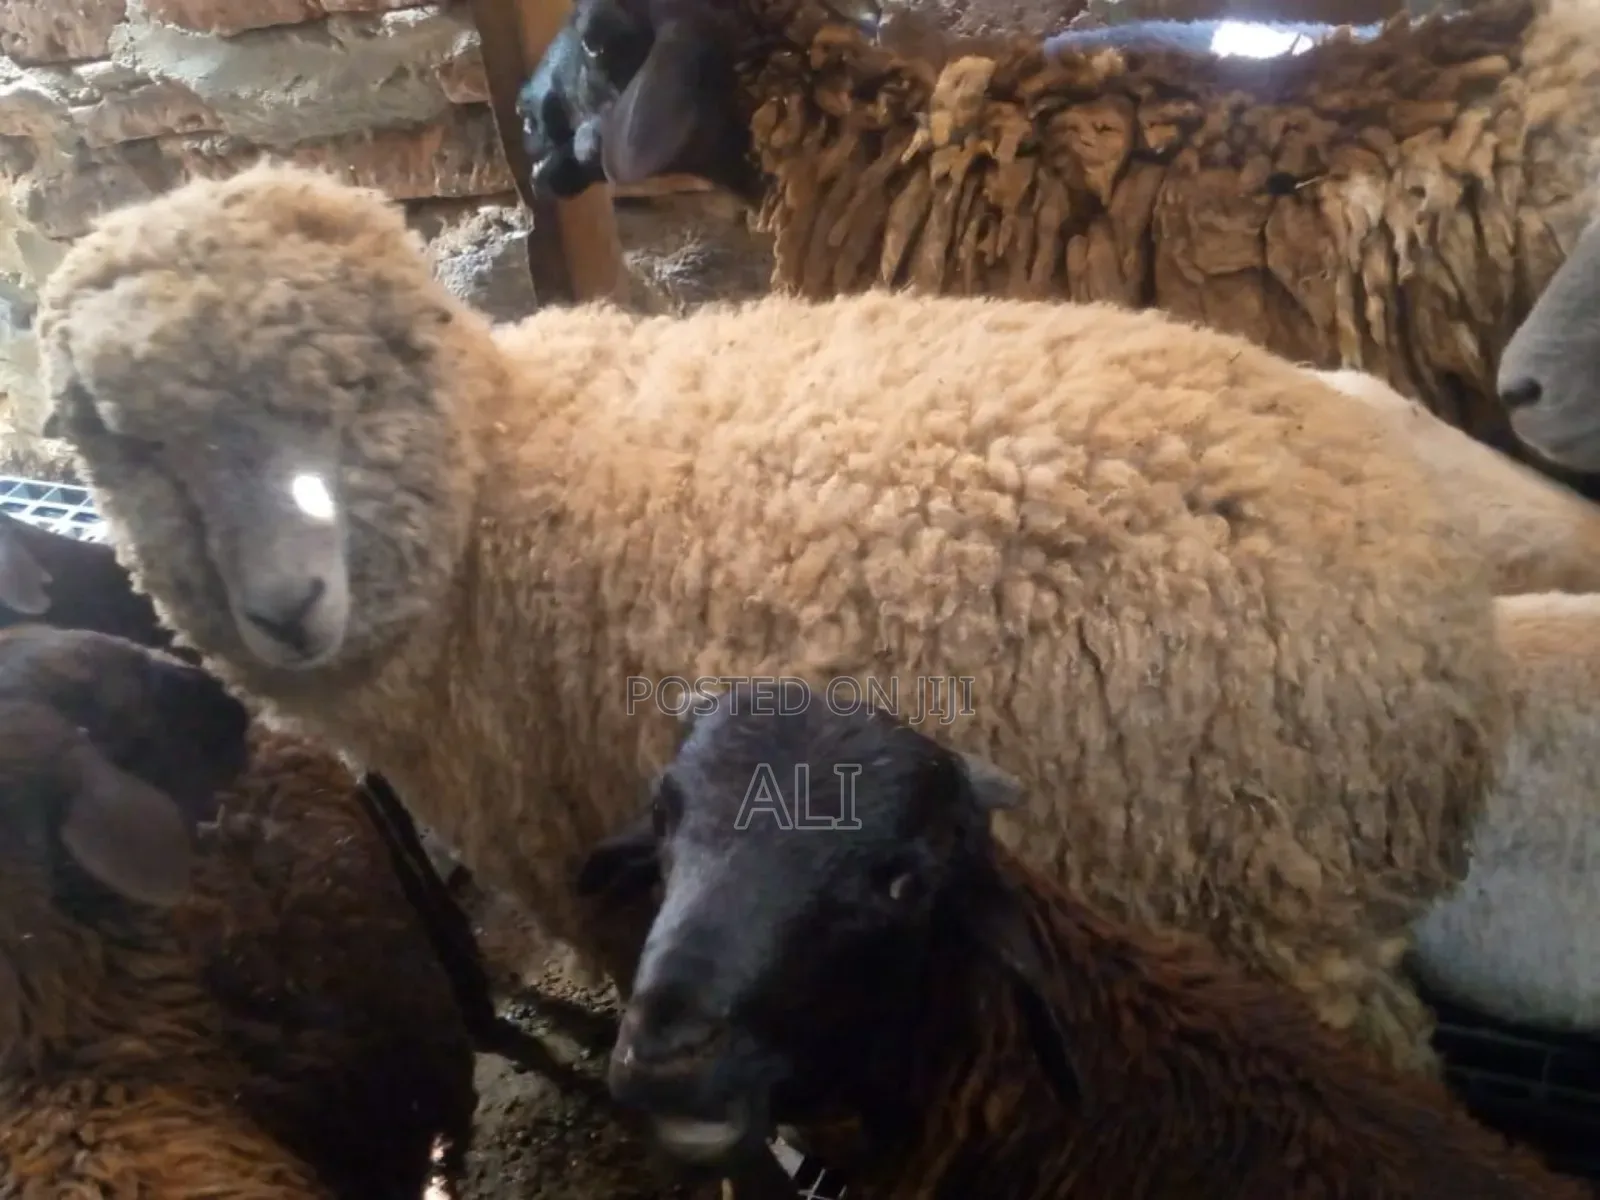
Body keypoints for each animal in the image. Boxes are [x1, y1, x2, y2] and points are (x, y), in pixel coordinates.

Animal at [36, 162, 1510, 1076]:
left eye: (341, 390)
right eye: (135, 445)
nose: (285, 607)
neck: (497, 484)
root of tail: (1434, 628)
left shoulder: (588, 858)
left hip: (1263, 903)